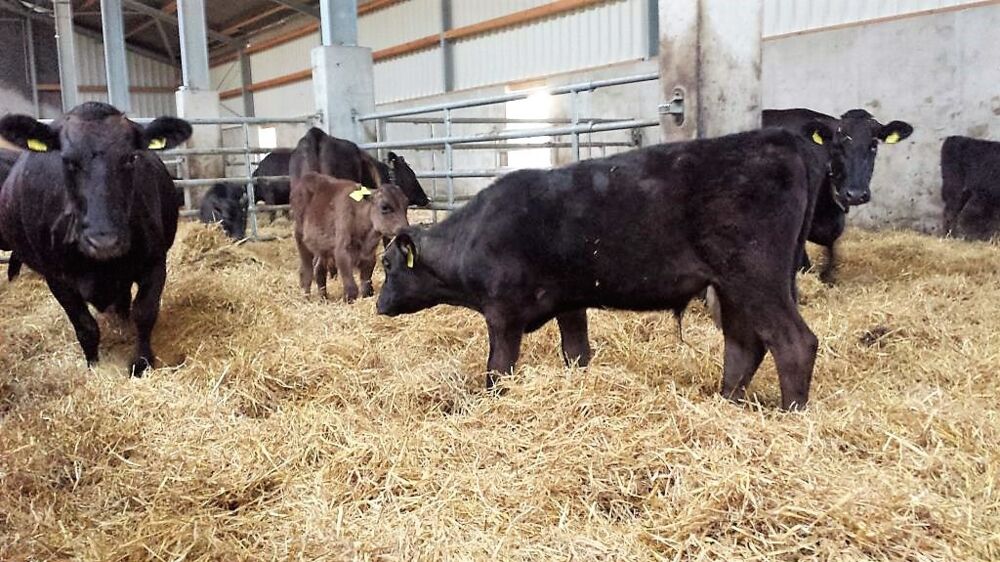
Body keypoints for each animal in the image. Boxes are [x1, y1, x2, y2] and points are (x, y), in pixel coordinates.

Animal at [0, 104, 191, 376]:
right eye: (67, 161)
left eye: (131, 158)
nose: (105, 241)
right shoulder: (57, 278)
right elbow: (85, 326)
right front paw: (93, 365)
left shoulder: (155, 262)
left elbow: (144, 313)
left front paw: (142, 363)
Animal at [378, 124, 840, 410]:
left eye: (386, 264)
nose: (379, 305)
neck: (472, 236)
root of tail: (783, 139)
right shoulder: (569, 301)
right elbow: (576, 353)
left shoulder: (503, 312)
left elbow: (497, 371)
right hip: (732, 286)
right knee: (744, 346)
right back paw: (726, 402)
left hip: (756, 276)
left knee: (793, 343)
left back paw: (791, 414)